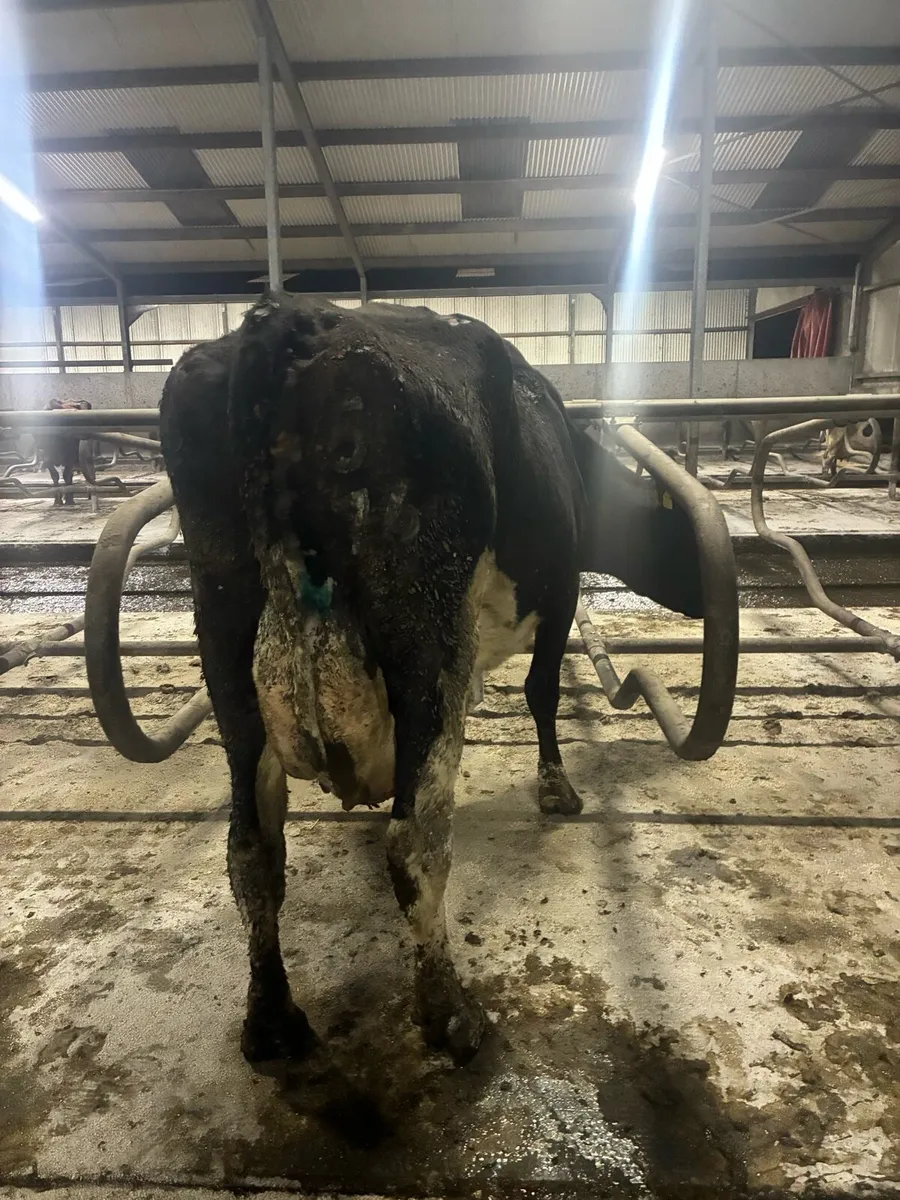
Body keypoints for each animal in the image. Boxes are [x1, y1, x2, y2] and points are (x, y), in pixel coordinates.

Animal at [159, 295, 705, 1066]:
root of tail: (289, 319)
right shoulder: (560, 588)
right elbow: (542, 692)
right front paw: (558, 788)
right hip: (427, 635)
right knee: (414, 840)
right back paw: (450, 1014)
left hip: (226, 640)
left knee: (251, 850)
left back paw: (272, 1020)